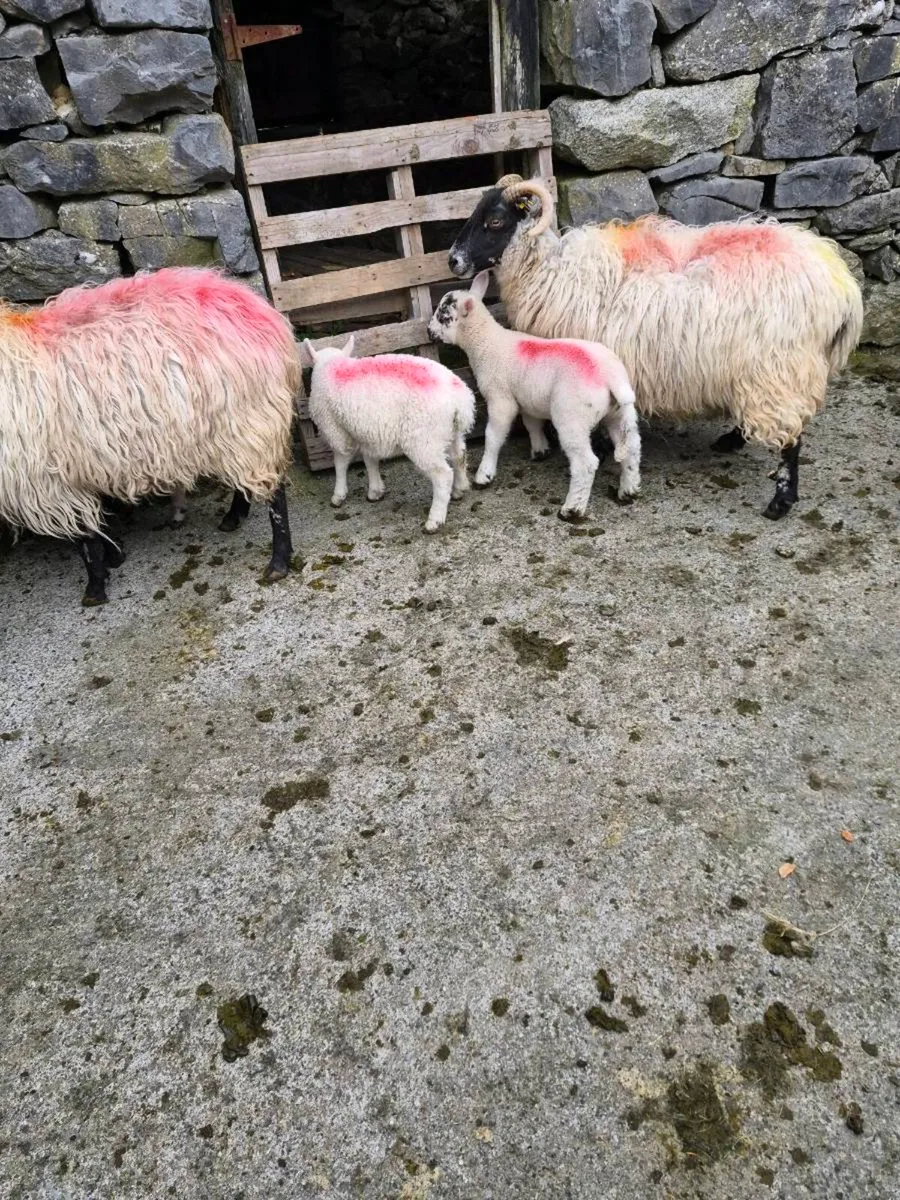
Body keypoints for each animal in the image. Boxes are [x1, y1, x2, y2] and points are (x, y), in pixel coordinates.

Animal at [0, 267, 299, 605]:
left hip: (248, 420)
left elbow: (83, 536)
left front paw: (95, 587)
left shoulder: (48, 478)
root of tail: (267, 317)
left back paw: (278, 561)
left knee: (275, 493)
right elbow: (95, 525)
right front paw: (115, 556)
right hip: (235, 430)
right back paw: (233, 517)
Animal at [304, 336, 475, 532]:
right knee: (459, 456)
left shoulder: (336, 430)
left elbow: (340, 462)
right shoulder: (368, 431)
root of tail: (460, 400)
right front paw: (375, 491)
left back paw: (434, 520)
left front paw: (338, 495)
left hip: (423, 439)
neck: (332, 365)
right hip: (451, 431)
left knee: (442, 475)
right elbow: (370, 460)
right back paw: (460, 489)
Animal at [428, 271, 641, 520]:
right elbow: (532, 424)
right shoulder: (527, 399)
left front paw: (484, 474)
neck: (486, 343)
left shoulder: (501, 398)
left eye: (443, 315)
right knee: (632, 447)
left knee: (586, 463)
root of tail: (611, 376)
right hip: (618, 413)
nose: (428, 332)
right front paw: (540, 450)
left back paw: (572, 509)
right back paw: (629, 490)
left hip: (572, 416)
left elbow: (493, 436)